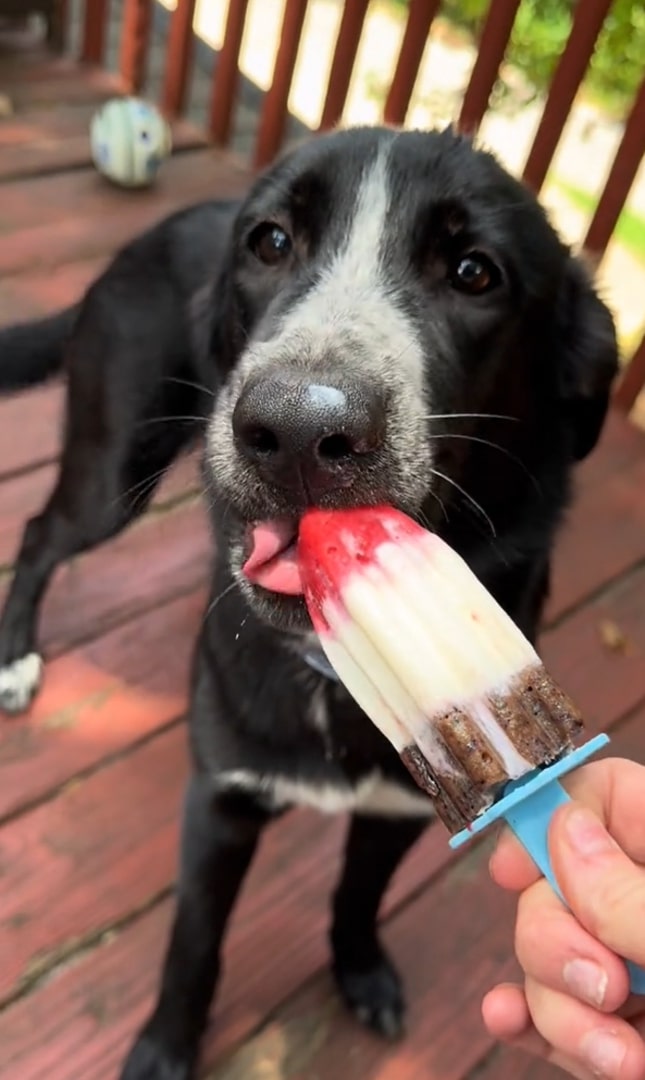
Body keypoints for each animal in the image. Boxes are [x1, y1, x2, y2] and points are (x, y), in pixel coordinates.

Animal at [0, 124, 617, 1071]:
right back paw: (16, 658)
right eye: (270, 242)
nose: (293, 430)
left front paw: (358, 970)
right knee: (38, 535)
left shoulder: (399, 815)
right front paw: (165, 1048)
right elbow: (194, 944)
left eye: (474, 272)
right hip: (112, 471)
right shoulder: (219, 802)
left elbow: (356, 898)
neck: (328, 676)